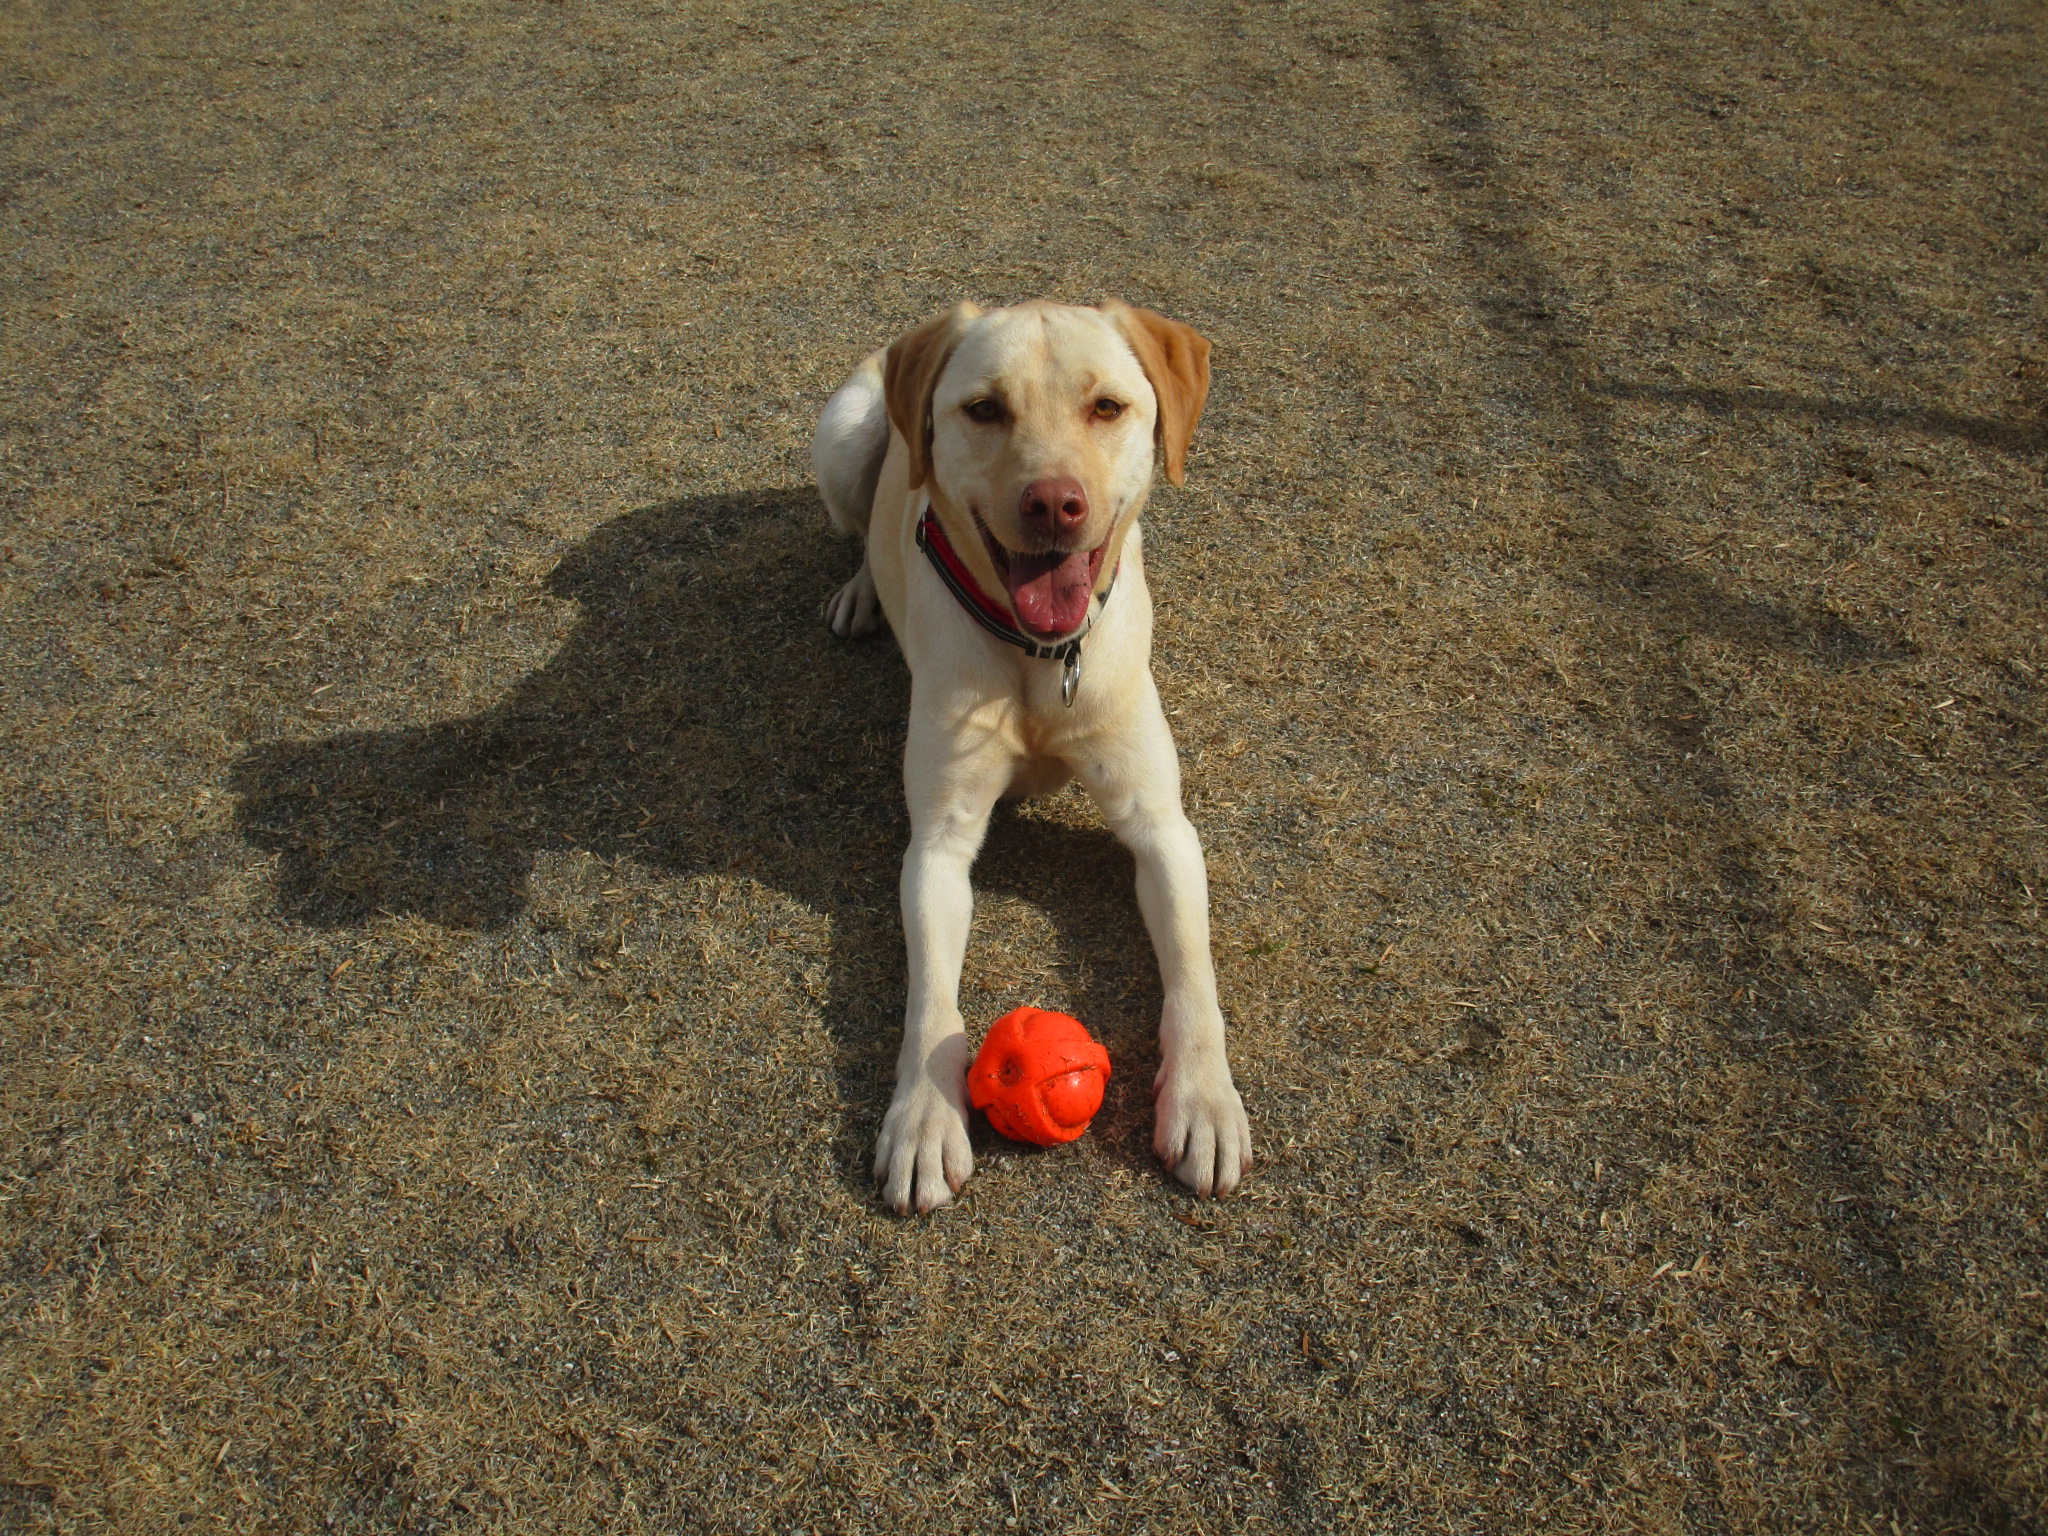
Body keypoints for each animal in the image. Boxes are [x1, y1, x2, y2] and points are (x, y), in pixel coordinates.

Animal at [815, 301, 1245, 1212]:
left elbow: (1193, 970)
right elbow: (930, 996)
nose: (1054, 504)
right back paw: (863, 590)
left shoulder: (1162, 825)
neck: (1041, 655)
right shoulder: (939, 839)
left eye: (1107, 407)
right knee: (861, 525)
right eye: (984, 410)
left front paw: (1203, 1098)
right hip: (841, 432)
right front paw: (924, 1118)